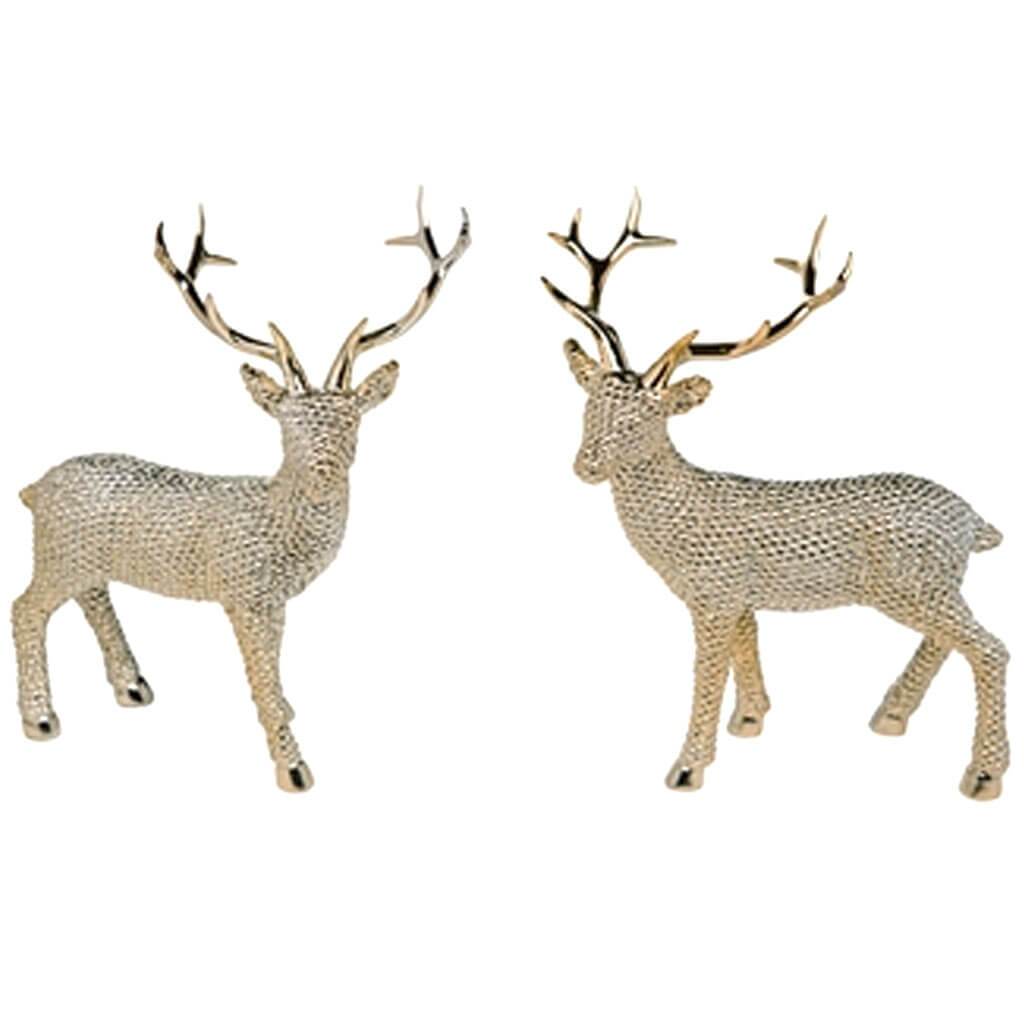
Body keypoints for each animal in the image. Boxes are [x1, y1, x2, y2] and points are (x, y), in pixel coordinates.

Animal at [12, 190, 470, 791]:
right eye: (286, 427)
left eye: (352, 423)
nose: (322, 474)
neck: (276, 519)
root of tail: (34, 488)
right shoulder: (245, 596)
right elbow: (264, 674)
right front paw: (293, 764)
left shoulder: (272, 601)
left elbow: (273, 674)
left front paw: (287, 722)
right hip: (57, 554)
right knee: (26, 608)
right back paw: (41, 718)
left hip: (84, 556)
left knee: (93, 597)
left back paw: (133, 685)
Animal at [542, 192, 1008, 800]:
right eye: (589, 405)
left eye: (646, 418)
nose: (586, 465)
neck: (686, 510)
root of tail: (974, 521)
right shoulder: (741, 597)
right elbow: (748, 646)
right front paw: (750, 719)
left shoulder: (714, 594)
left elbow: (706, 672)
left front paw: (687, 768)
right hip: (931, 584)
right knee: (949, 640)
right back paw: (889, 716)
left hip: (917, 585)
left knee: (991, 647)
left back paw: (982, 775)